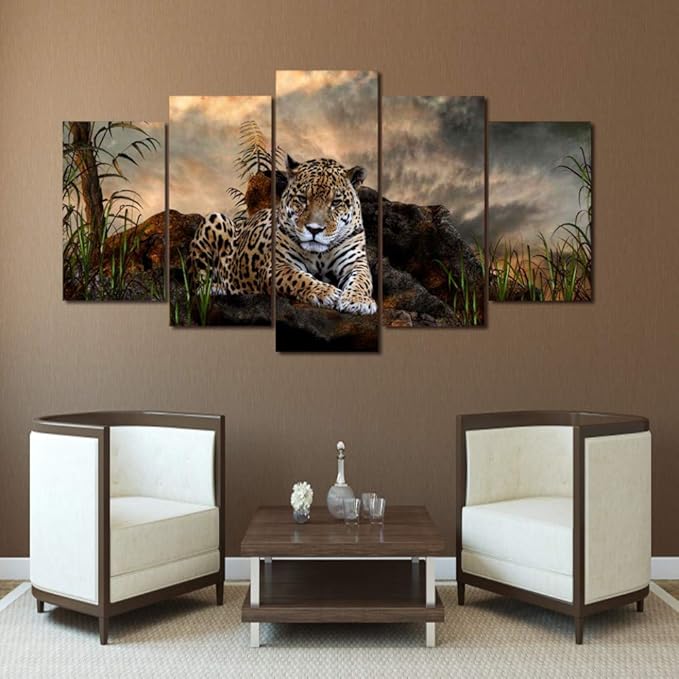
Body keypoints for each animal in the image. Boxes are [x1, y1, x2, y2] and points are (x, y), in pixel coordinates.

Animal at [188, 156, 377, 315]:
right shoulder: (278, 266)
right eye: (302, 199)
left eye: (336, 203)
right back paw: (216, 289)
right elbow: (299, 278)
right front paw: (327, 292)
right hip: (215, 219)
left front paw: (358, 301)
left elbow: (362, 281)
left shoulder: (356, 263)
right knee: (197, 283)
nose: (314, 229)